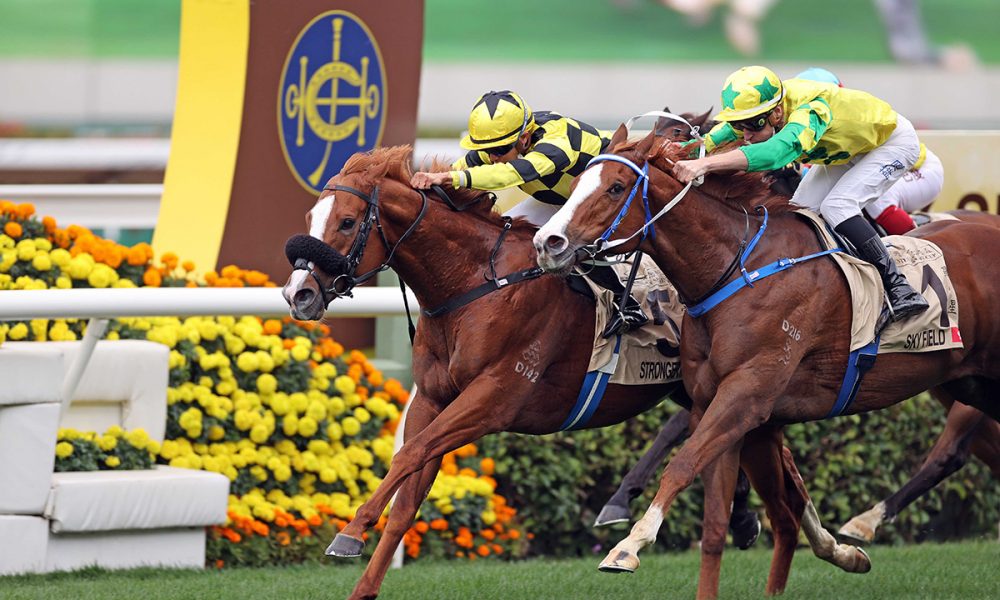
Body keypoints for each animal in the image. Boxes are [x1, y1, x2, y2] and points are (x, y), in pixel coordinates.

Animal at [280, 145, 870, 600]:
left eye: (348, 222)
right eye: (309, 220)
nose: (298, 295)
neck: (474, 286)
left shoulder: (494, 397)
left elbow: (410, 454)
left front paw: (350, 530)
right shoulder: (432, 397)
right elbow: (408, 494)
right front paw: (362, 576)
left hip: (740, 383)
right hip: (737, 392)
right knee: (781, 476)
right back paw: (831, 547)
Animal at [533, 127, 1000, 598]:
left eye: (615, 188)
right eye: (575, 185)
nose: (547, 243)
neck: (736, 268)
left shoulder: (747, 397)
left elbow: (681, 463)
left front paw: (627, 547)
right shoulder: (718, 406)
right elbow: (714, 521)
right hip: (970, 384)